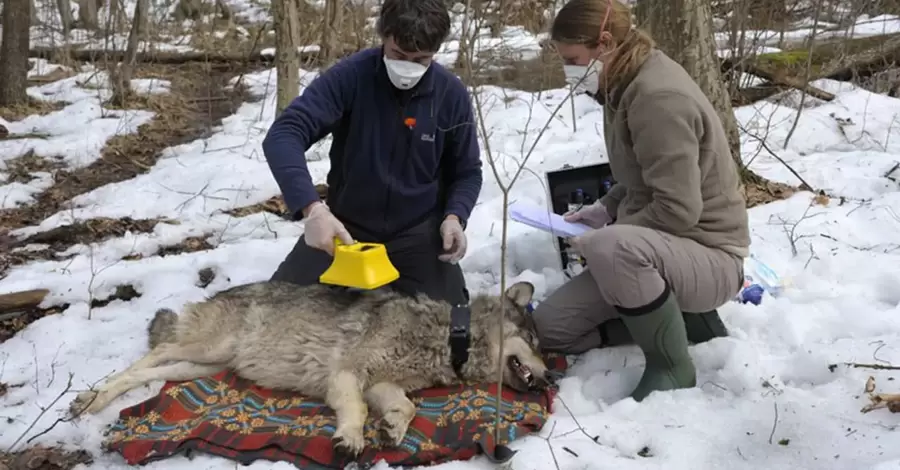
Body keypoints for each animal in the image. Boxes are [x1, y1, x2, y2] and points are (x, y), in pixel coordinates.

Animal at [70, 280, 552, 456]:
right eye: (534, 343)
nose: (550, 378)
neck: (448, 336)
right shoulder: (348, 375)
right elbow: (356, 410)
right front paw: (351, 439)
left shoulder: (381, 383)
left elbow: (408, 408)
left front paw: (392, 430)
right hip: (207, 346)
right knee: (152, 356)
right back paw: (89, 399)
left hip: (201, 367)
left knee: (151, 373)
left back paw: (96, 399)